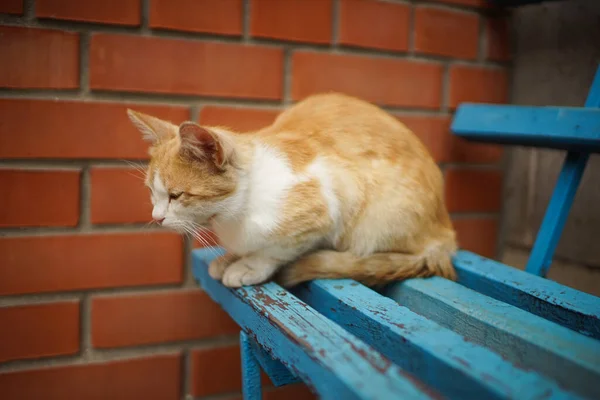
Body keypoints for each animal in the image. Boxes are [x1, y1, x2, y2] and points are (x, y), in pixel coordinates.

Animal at [126, 94, 454, 288]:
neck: (234, 215)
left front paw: (249, 265)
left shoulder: (331, 202)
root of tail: (446, 233)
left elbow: (277, 249)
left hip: (380, 219)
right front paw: (232, 257)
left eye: (176, 195)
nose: (156, 217)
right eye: (152, 192)